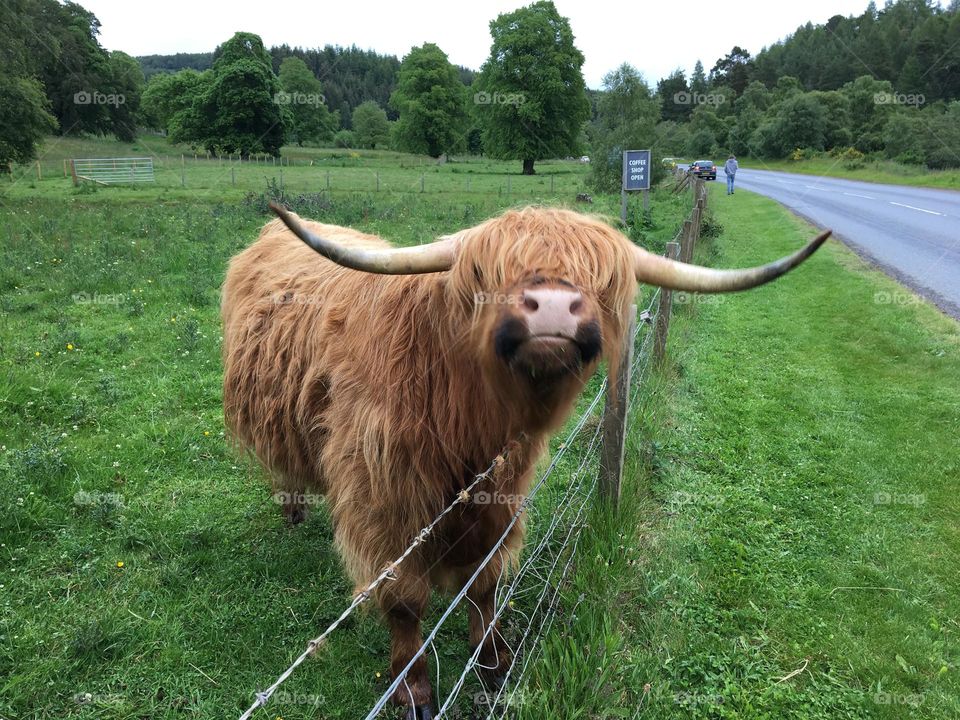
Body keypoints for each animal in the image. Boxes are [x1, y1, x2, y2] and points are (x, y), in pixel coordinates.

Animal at [222, 202, 829, 719]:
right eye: (487, 275)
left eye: (602, 280)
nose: (555, 308)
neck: (464, 421)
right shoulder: (383, 502)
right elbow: (405, 600)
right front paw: (414, 689)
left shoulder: (502, 492)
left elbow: (486, 582)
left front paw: (493, 659)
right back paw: (293, 511)